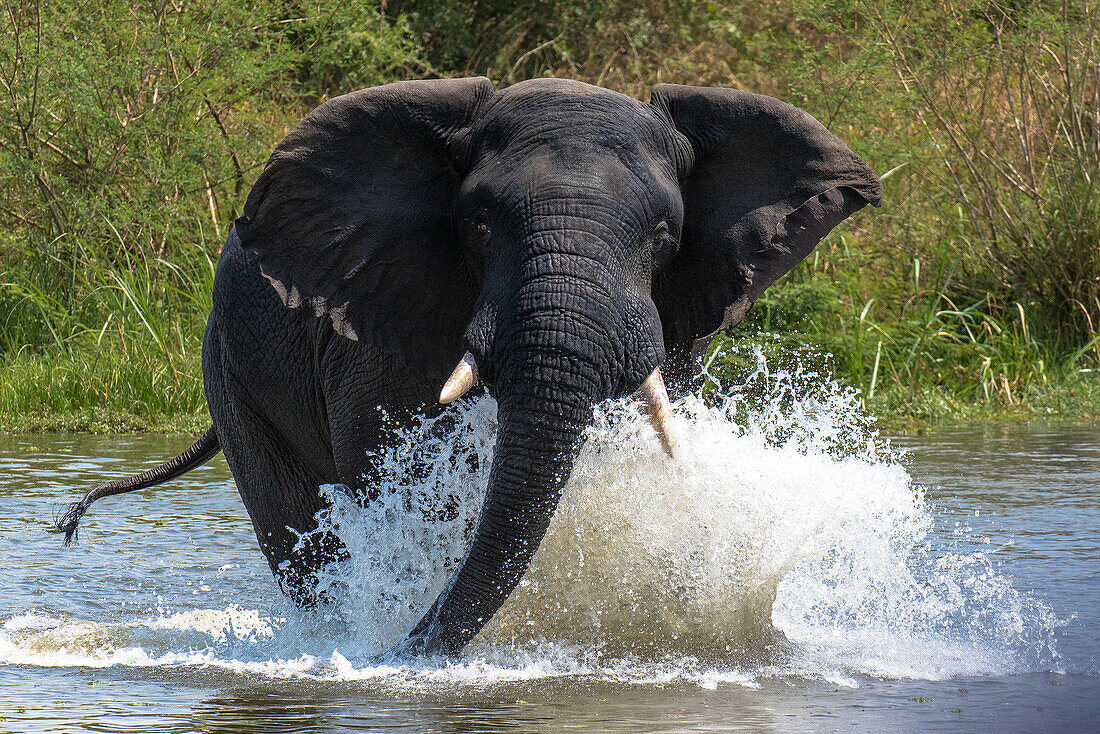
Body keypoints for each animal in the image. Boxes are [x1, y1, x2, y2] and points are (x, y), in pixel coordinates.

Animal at [51, 77, 880, 655]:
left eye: (664, 236)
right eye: (477, 223)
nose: (403, 651)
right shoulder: (380, 325)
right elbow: (405, 481)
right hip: (230, 370)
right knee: (296, 526)